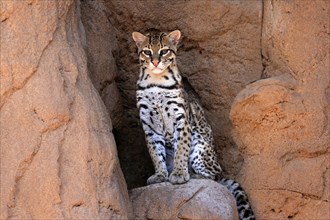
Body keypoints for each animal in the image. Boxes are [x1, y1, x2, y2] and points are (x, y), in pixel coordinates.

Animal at [131, 29, 255, 220]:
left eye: (164, 51)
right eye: (146, 51)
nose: (155, 62)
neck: (156, 81)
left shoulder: (181, 118)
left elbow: (181, 149)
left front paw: (180, 174)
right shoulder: (149, 124)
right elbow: (155, 152)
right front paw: (160, 174)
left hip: (200, 148)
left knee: (214, 177)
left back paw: (194, 175)